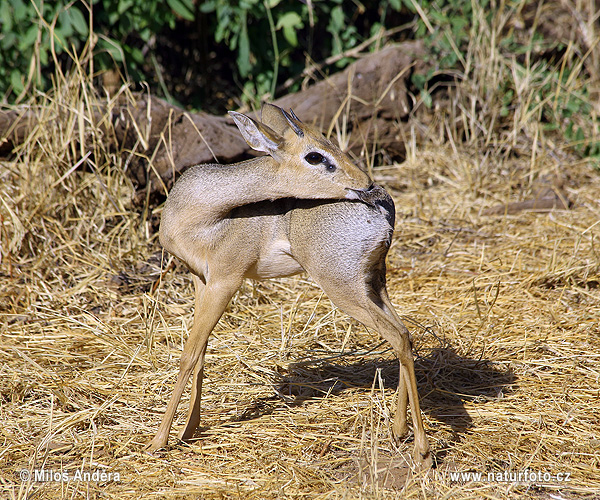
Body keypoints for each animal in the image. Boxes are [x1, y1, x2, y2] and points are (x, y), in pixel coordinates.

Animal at [148, 103, 434, 466]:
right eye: (315, 154)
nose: (366, 182)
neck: (200, 213)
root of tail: (385, 208)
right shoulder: (202, 280)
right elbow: (200, 355)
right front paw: (189, 430)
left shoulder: (225, 282)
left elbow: (188, 355)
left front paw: (158, 441)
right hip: (374, 283)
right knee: (406, 335)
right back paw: (399, 431)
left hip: (343, 289)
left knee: (397, 336)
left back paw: (421, 448)